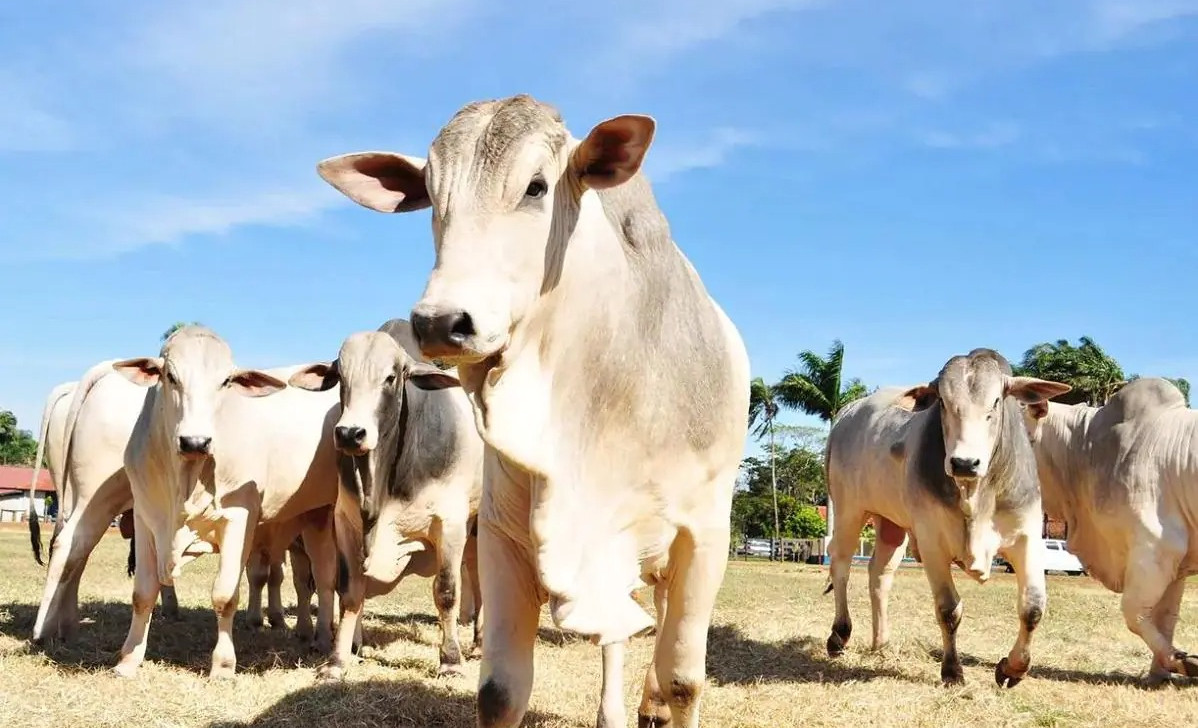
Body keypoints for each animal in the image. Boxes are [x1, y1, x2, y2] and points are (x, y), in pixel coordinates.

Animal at [108, 326, 341, 679]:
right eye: (170, 376)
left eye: (225, 381)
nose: (195, 441)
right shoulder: (147, 519)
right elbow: (143, 594)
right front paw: (129, 659)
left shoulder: (239, 518)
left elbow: (225, 595)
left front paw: (223, 664)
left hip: (320, 519)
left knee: (325, 580)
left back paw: (324, 638)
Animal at [290, 319, 484, 680]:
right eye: (341, 377)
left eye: (391, 377)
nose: (350, 434)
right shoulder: (346, 521)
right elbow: (350, 592)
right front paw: (337, 661)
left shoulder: (450, 523)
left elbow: (446, 592)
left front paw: (451, 661)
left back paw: (478, 645)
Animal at [314, 93, 750, 728]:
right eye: (431, 195)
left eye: (537, 187)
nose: (440, 322)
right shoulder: (501, 533)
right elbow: (499, 689)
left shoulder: (704, 536)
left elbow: (685, 679)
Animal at [824, 348, 1071, 687]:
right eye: (942, 401)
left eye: (996, 401)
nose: (964, 462)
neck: (976, 494)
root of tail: (847, 412)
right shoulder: (932, 543)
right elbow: (949, 610)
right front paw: (952, 671)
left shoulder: (1027, 537)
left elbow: (1033, 607)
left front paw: (1013, 669)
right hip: (850, 510)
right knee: (841, 565)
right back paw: (839, 634)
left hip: (892, 526)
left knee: (879, 574)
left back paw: (881, 643)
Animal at [1022, 376, 1198, 684]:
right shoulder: (1177, 566)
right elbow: (1166, 618)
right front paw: (1160, 673)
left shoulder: (1156, 548)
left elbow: (1133, 612)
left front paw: (1181, 661)